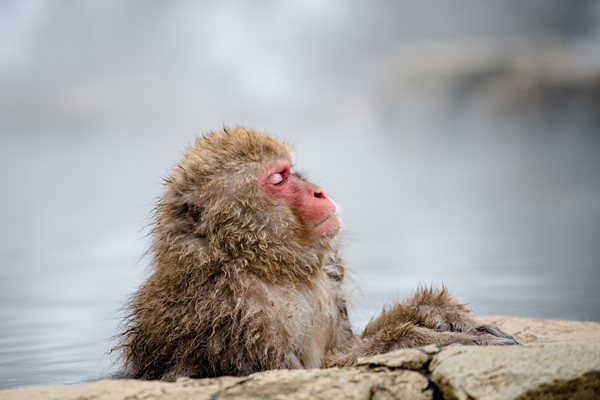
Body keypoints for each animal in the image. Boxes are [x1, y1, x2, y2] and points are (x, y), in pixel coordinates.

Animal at [116, 128, 516, 382]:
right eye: (279, 180)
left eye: (292, 171)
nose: (318, 192)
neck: (259, 263)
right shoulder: (228, 315)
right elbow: (300, 374)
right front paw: (413, 340)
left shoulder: (330, 273)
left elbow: (342, 346)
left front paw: (431, 311)